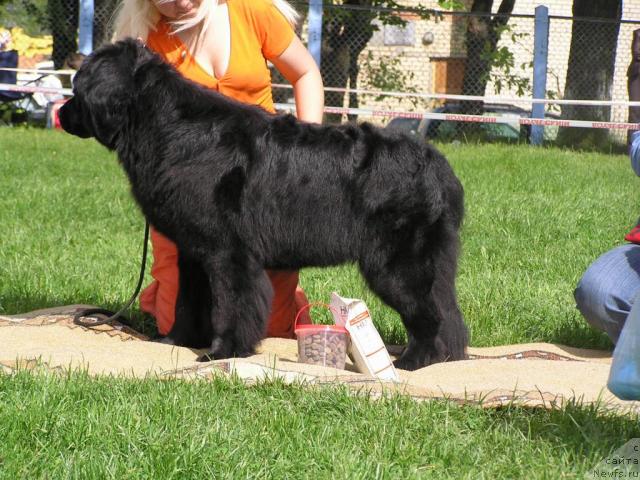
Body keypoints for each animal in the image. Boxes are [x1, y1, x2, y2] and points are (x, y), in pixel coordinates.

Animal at [60, 40, 468, 372]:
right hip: (434, 260)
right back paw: (448, 356)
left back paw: (413, 361)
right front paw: (174, 341)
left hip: (398, 263)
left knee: (428, 313)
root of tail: (439, 165)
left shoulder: (229, 252)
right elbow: (187, 301)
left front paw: (221, 352)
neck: (166, 127)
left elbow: (231, 304)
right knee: (449, 310)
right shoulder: (193, 251)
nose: (62, 113)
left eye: (77, 89)